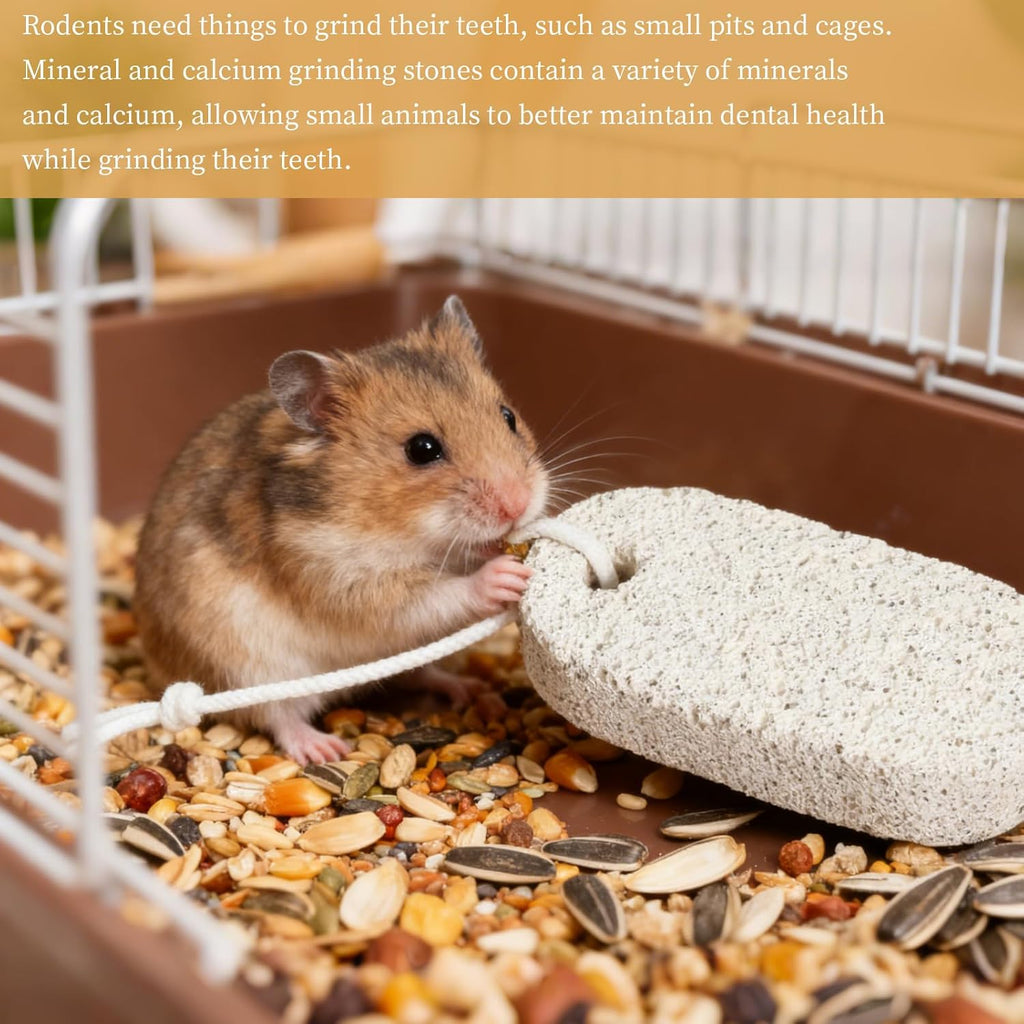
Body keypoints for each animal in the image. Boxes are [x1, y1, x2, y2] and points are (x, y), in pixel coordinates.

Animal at [134, 296, 549, 763]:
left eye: (508, 415)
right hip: (244, 666)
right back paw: (324, 750)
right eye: (422, 449)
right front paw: (504, 576)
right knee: (276, 716)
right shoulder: (343, 581)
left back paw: (470, 689)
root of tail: (157, 668)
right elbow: (433, 596)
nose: (519, 505)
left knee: (419, 674)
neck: (411, 536)